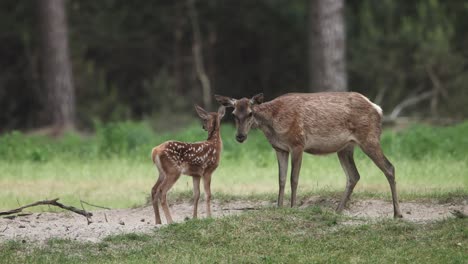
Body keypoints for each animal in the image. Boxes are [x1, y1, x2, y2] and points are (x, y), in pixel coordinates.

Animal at [216, 93, 402, 219]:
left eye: (250, 113)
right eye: (233, 114)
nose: (240, 136)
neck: (273, 125)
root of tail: (378, 109)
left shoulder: (297, 143)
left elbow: (294, 178)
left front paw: (292, 207)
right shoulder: (279, 148)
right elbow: (281, 179)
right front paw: (279, 207)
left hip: (369, 138)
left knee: (389, 167)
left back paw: (397, 213)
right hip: (345, 147)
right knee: (354, 175)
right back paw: (337, 211)